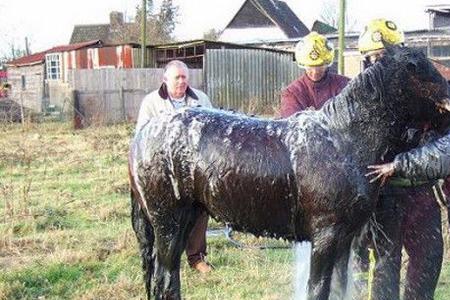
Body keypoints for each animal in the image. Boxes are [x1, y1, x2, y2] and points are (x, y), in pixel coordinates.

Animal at [128, 45, 448, 300]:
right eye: (424, 71)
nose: (448, 95)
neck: (342, 139)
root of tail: (142, 134)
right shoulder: (325, 237)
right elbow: (318, 289)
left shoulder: (345, 238)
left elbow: (339, 286)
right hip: (168, 222)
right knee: (166, 279)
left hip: (187, 218)